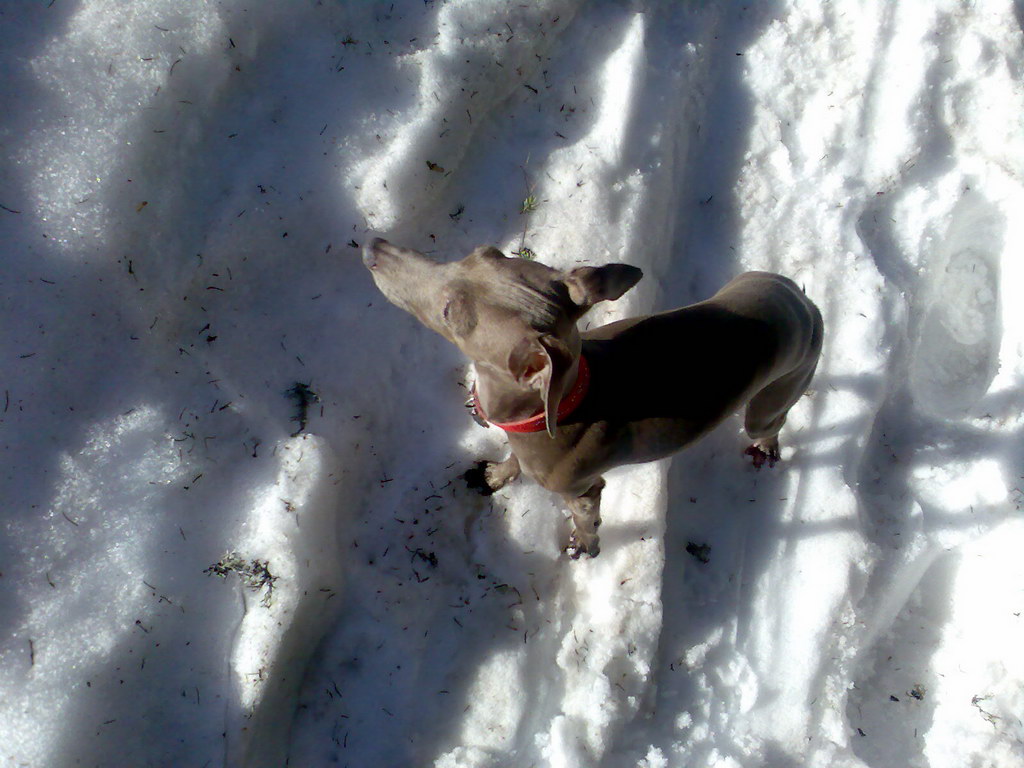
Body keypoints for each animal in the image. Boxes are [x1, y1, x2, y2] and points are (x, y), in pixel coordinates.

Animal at [360, 239, 823, 561]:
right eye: (478, 251)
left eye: (449, 313)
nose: (373, 246)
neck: (554, 407)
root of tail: (802, 299)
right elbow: (513, 460)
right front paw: (494, 475)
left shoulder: (582, 488)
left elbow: (586, 518)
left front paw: (583, 546)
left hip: (779, 388)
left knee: (769, 424)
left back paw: (765, 450)